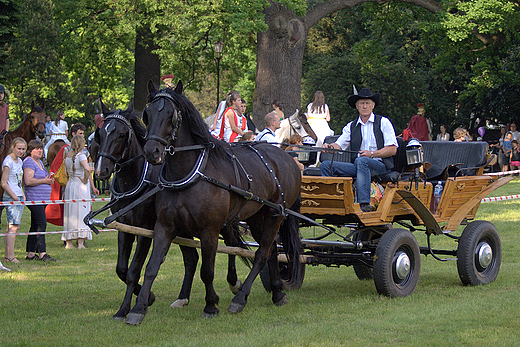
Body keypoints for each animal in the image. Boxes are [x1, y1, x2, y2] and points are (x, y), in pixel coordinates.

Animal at [123, 82, 300, 326]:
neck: (191, 172)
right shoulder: (164, 227)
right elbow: (151, 267)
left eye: (171, 115)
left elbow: (207, 271)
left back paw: (240, 298)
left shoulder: (209, 230)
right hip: (258, 216)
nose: (152, 151)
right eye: (147, 114)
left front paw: (211, 305)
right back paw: (277, 292)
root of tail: (285, 156)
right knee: (271, 250)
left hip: (276, 215)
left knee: (262, 254)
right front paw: (138, 308)